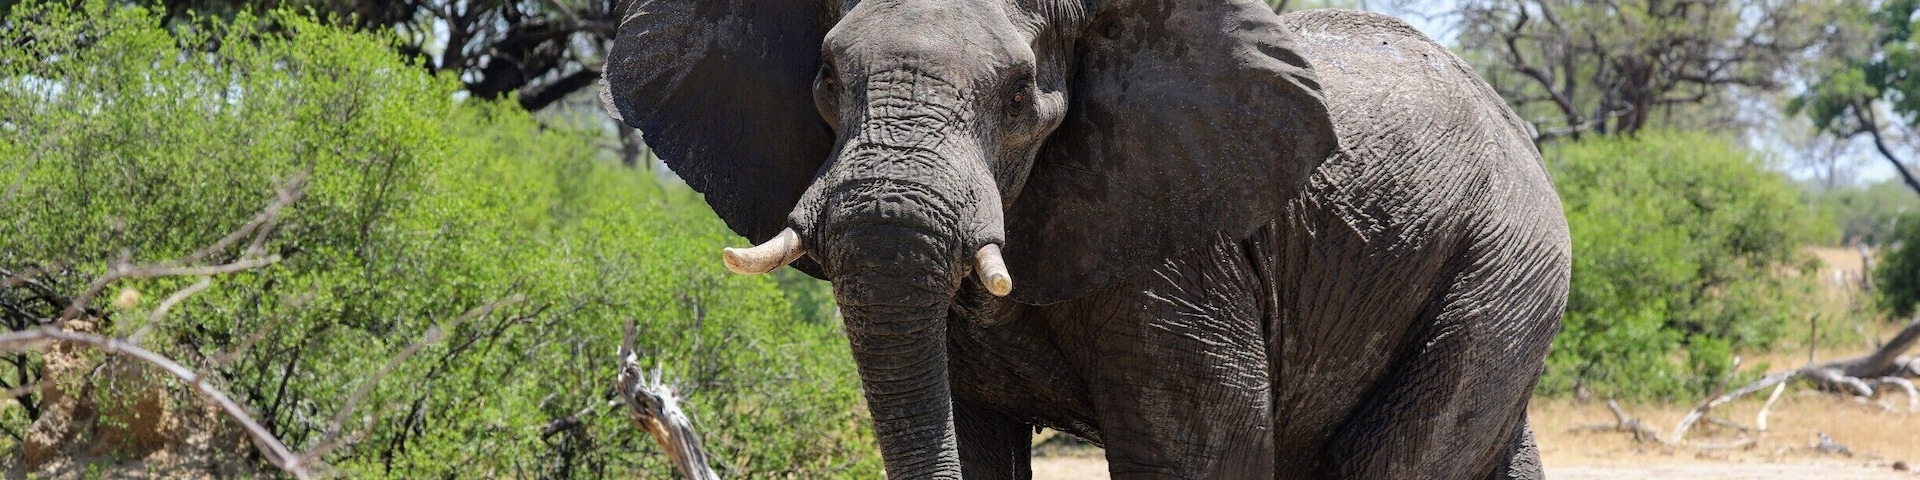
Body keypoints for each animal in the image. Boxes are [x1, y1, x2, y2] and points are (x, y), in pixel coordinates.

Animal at [601, 0, 1569, 478]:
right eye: (828, 78)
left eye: (1019, 94)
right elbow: (967, 433)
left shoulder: (1186, 245)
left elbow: (1193, 452)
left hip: (1499, 274)